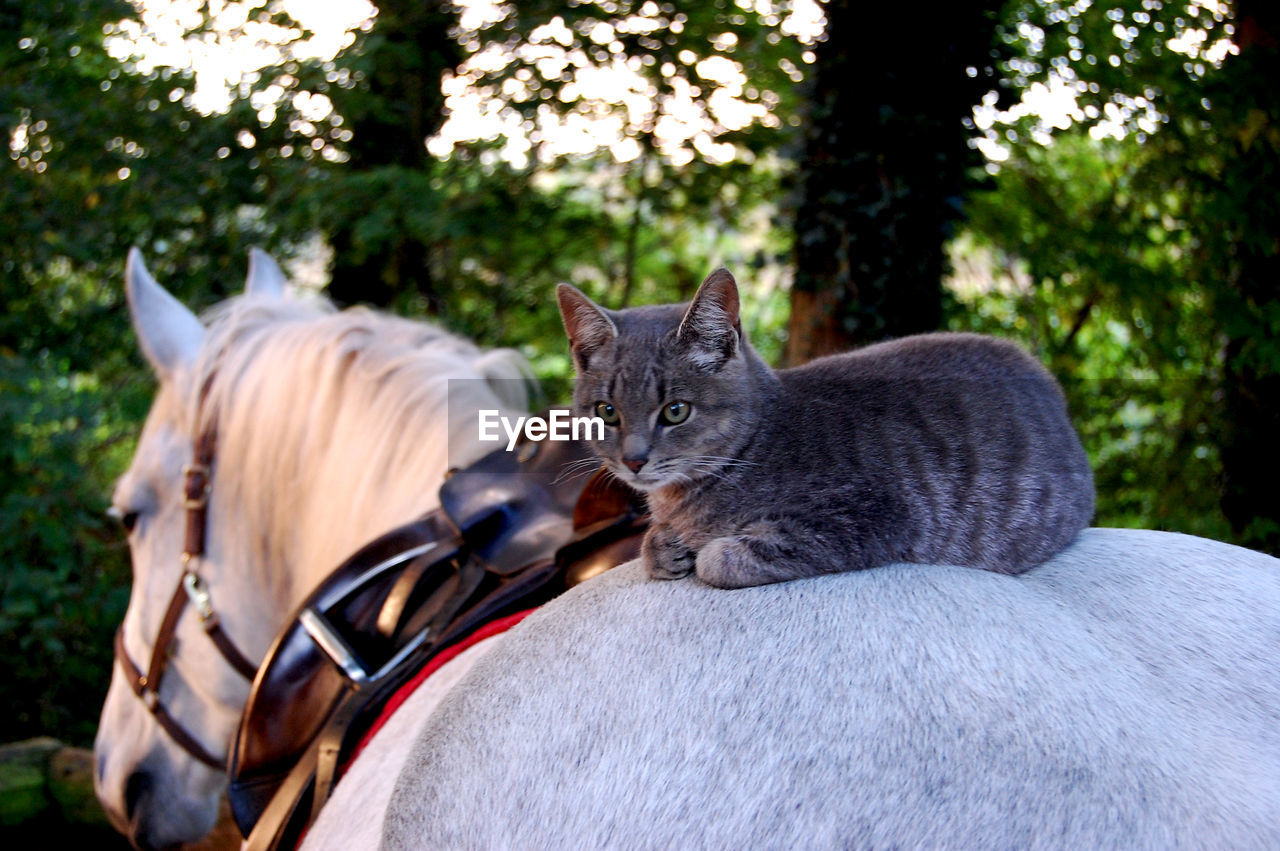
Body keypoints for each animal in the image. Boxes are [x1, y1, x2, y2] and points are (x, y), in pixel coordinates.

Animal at [555, 268, 1095, 588]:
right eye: (606, 412)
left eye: (674, 411)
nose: (633, 460)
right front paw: (663, 546)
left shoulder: (869, 513)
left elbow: (723, 558)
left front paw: (703, 550)